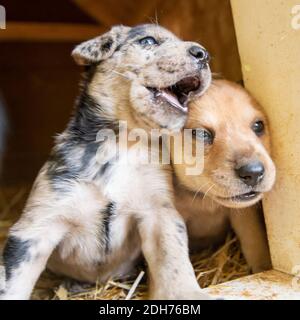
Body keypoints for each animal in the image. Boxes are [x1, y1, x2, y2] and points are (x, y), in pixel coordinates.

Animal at [172, 80, 276, 272]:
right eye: (202, 134)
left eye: (258, 126)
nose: (253, 172)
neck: (205, 200)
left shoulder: (244, 216)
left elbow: (255, 243)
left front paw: (264, 269)